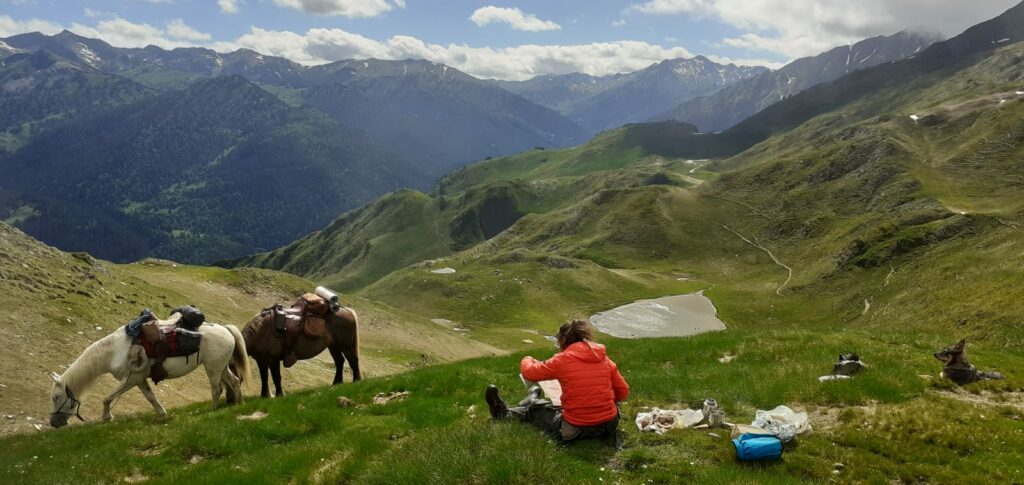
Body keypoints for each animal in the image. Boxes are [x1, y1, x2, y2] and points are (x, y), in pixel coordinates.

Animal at [50, 313, 250, 425]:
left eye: (56, 397)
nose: (53, 423)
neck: (115, 350)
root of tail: (225, 328)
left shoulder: (130, 378)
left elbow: (107, 398)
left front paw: (107, 417)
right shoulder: (139, 379)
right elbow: (150, 397)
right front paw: (162, 414)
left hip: (213, 368)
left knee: (217, 389)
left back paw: (211, 409)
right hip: (221, 367)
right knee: (233, 382)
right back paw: (240, 403)